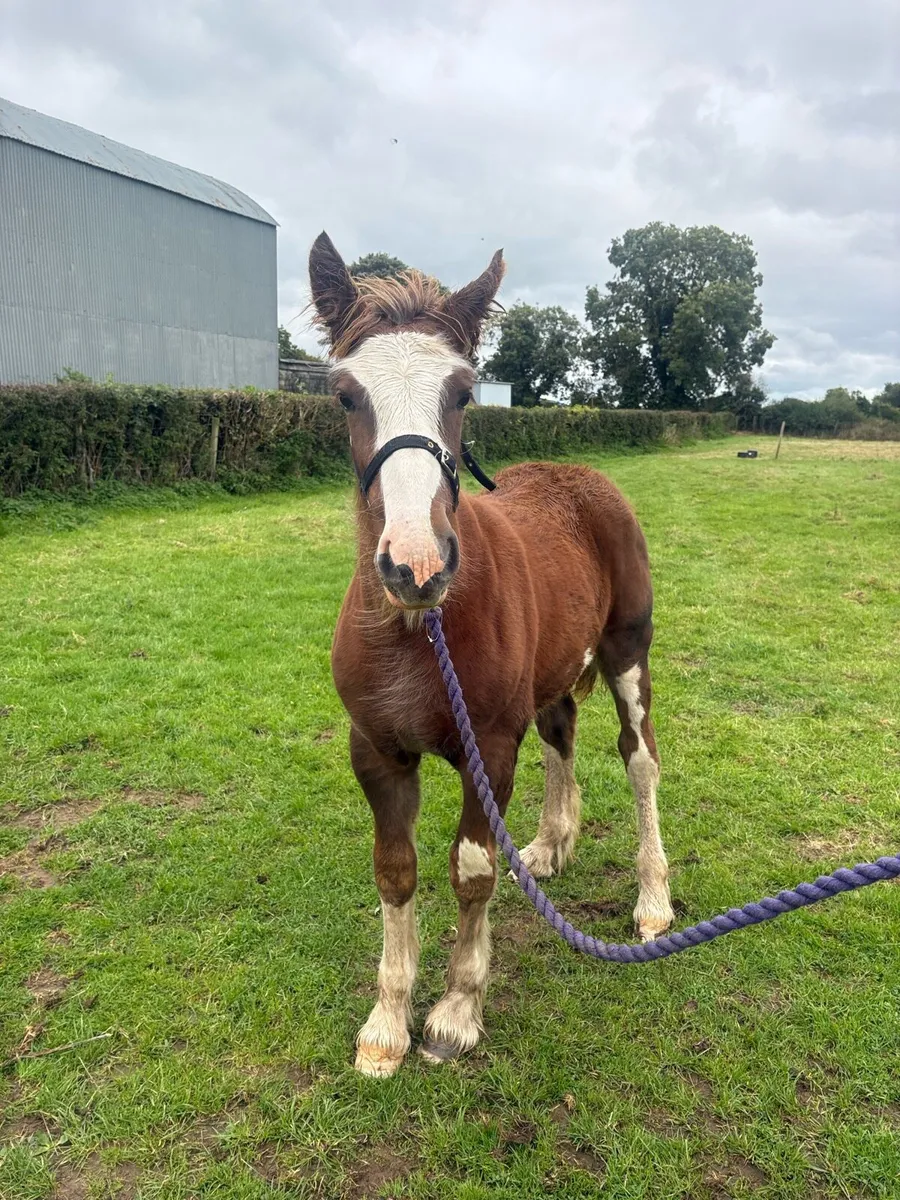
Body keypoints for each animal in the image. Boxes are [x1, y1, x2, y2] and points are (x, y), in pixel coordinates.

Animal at [308, 232, 675, 1076]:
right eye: (345, 395)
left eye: (464, 392)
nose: (415, 565)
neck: (421, 630)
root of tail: (583, 475)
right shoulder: (376, 750)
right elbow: (396, 871)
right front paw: (387, 1023)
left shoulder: (490, 749)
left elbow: (471, 871)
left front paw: (454, 1013)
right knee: (561, 731)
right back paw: (549, 844)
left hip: (626, 652)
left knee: (639, 758)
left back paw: (652, 900)